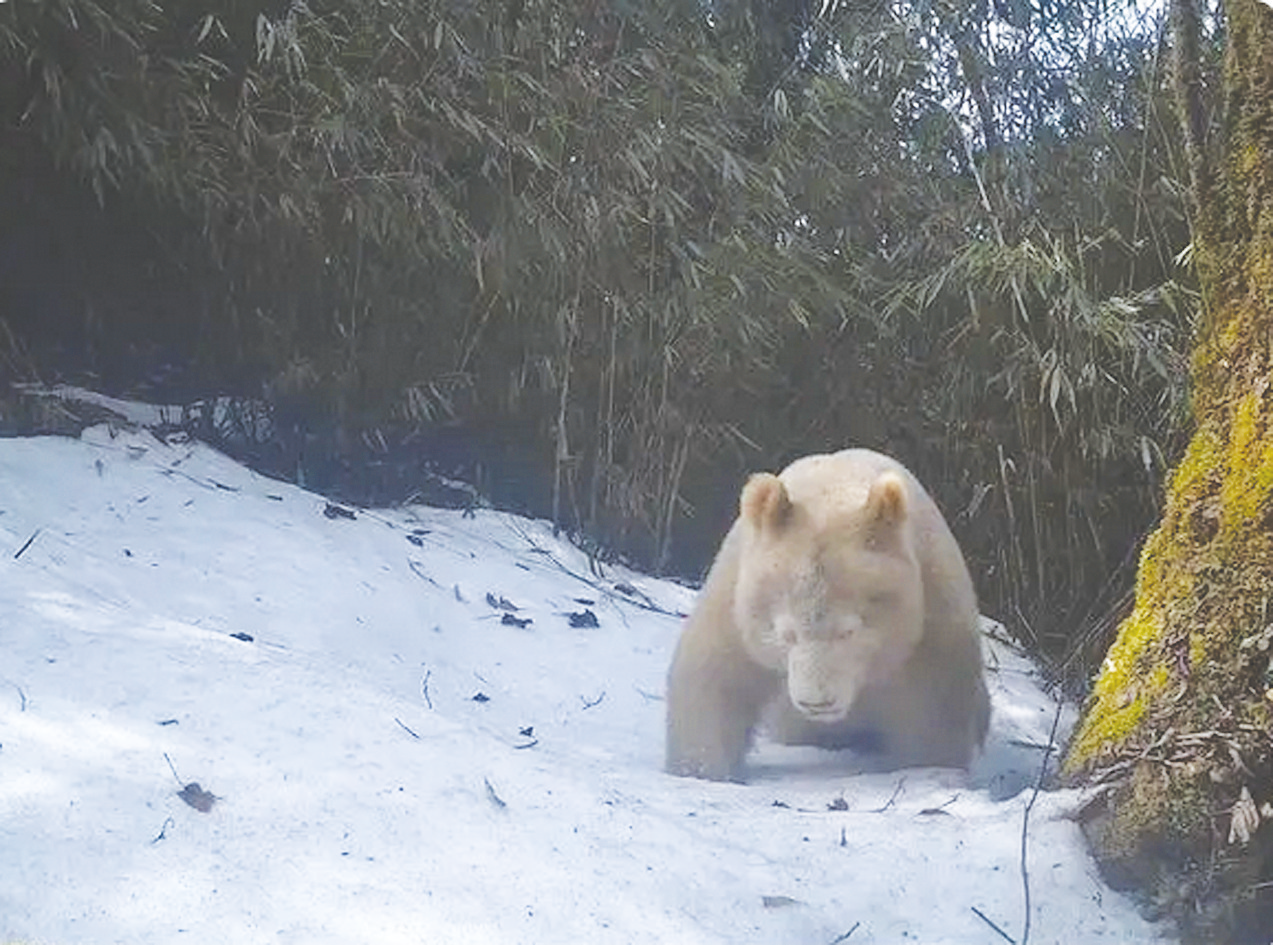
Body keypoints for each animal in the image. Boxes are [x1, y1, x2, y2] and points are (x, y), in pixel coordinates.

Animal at [665, 448, 990, 782]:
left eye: (848, 632)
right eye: (787, 634)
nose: (817, 704)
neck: (835, 490)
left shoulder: (929, 621)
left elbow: (934, 712)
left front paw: (927, 770)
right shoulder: (737, 595)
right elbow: (714, 677)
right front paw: (701, 769)